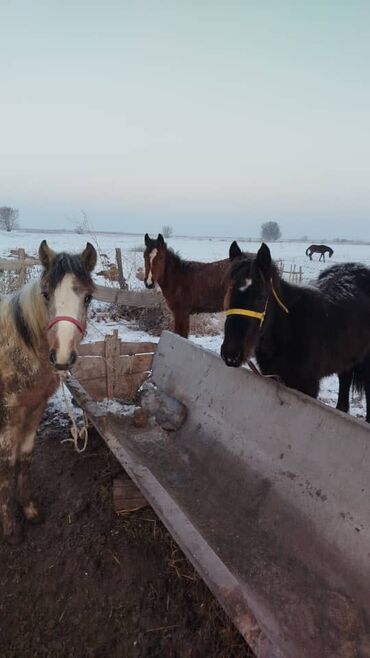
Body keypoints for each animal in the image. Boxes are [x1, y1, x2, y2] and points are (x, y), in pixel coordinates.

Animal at [0, 238, 97, 540]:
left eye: (87, 297)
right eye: (45, 294)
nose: (63, 356)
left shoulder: (35, 407)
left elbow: (25, 456)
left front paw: (29, 511)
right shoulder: (9, 415)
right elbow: (7, 463)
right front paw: (10, 527)